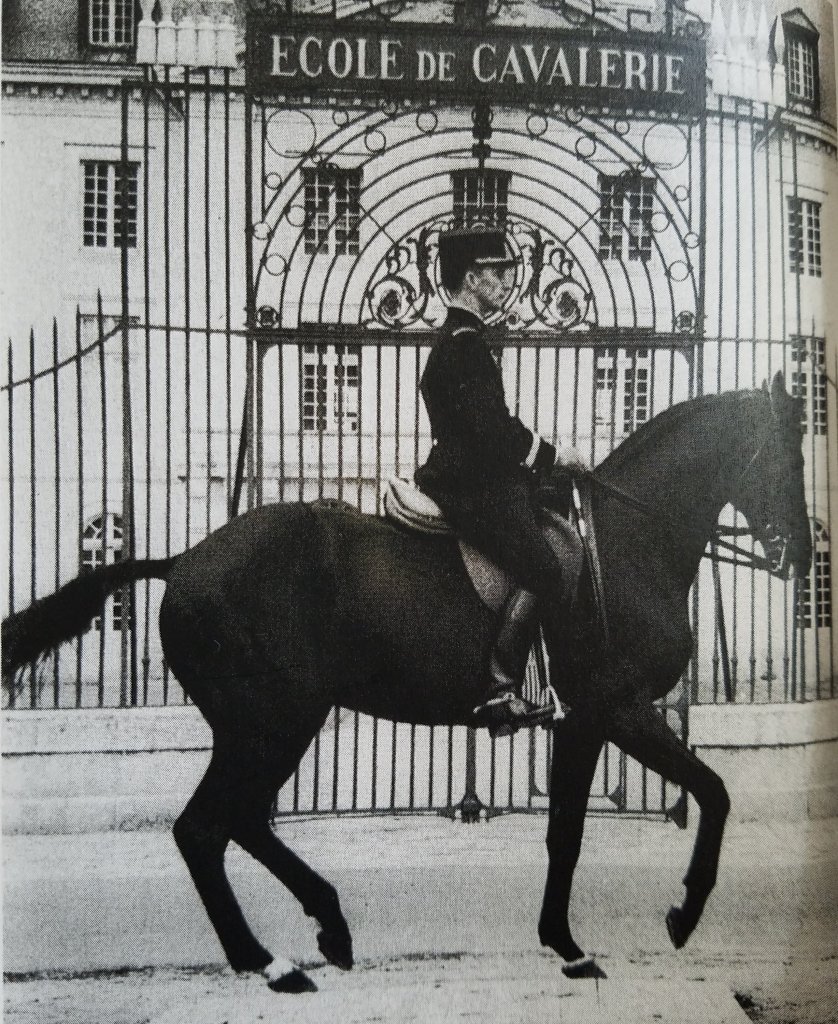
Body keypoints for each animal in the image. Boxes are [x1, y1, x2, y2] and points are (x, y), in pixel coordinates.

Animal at [2, 372, 812, 992]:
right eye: (786, 453)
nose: (801, 553)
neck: (623, 543)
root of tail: (184, 561)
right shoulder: (620, 710)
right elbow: (713, 792)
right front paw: (683, 914)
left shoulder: (584, 722)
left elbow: (566, 833)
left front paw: (565, 944)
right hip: (272, 721)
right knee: (207, 827)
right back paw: (270, 961)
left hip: (267, 725)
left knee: (235, 822)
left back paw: (322, 928)